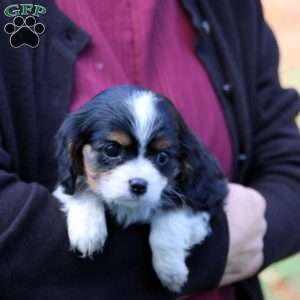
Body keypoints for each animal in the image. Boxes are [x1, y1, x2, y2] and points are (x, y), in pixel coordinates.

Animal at [53, 85, 227, 292]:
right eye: (111, 150)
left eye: (162, 157)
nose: (138, 185)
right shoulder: (68, 180)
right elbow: (82, 188)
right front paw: (88, 231)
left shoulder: (207, 196)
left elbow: (169, 224)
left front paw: (171, 270)